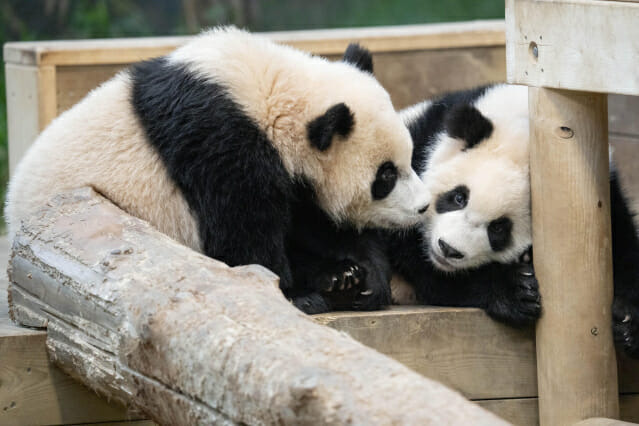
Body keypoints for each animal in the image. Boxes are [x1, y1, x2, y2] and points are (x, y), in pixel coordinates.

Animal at [302, 81, 639, 358]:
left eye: (499, 228)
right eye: (458, 197)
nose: (448, 249)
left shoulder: (606, 193)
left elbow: (622, 251)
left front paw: (627, 322)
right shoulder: (413, 160)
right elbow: (422, 265)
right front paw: (516, 291)